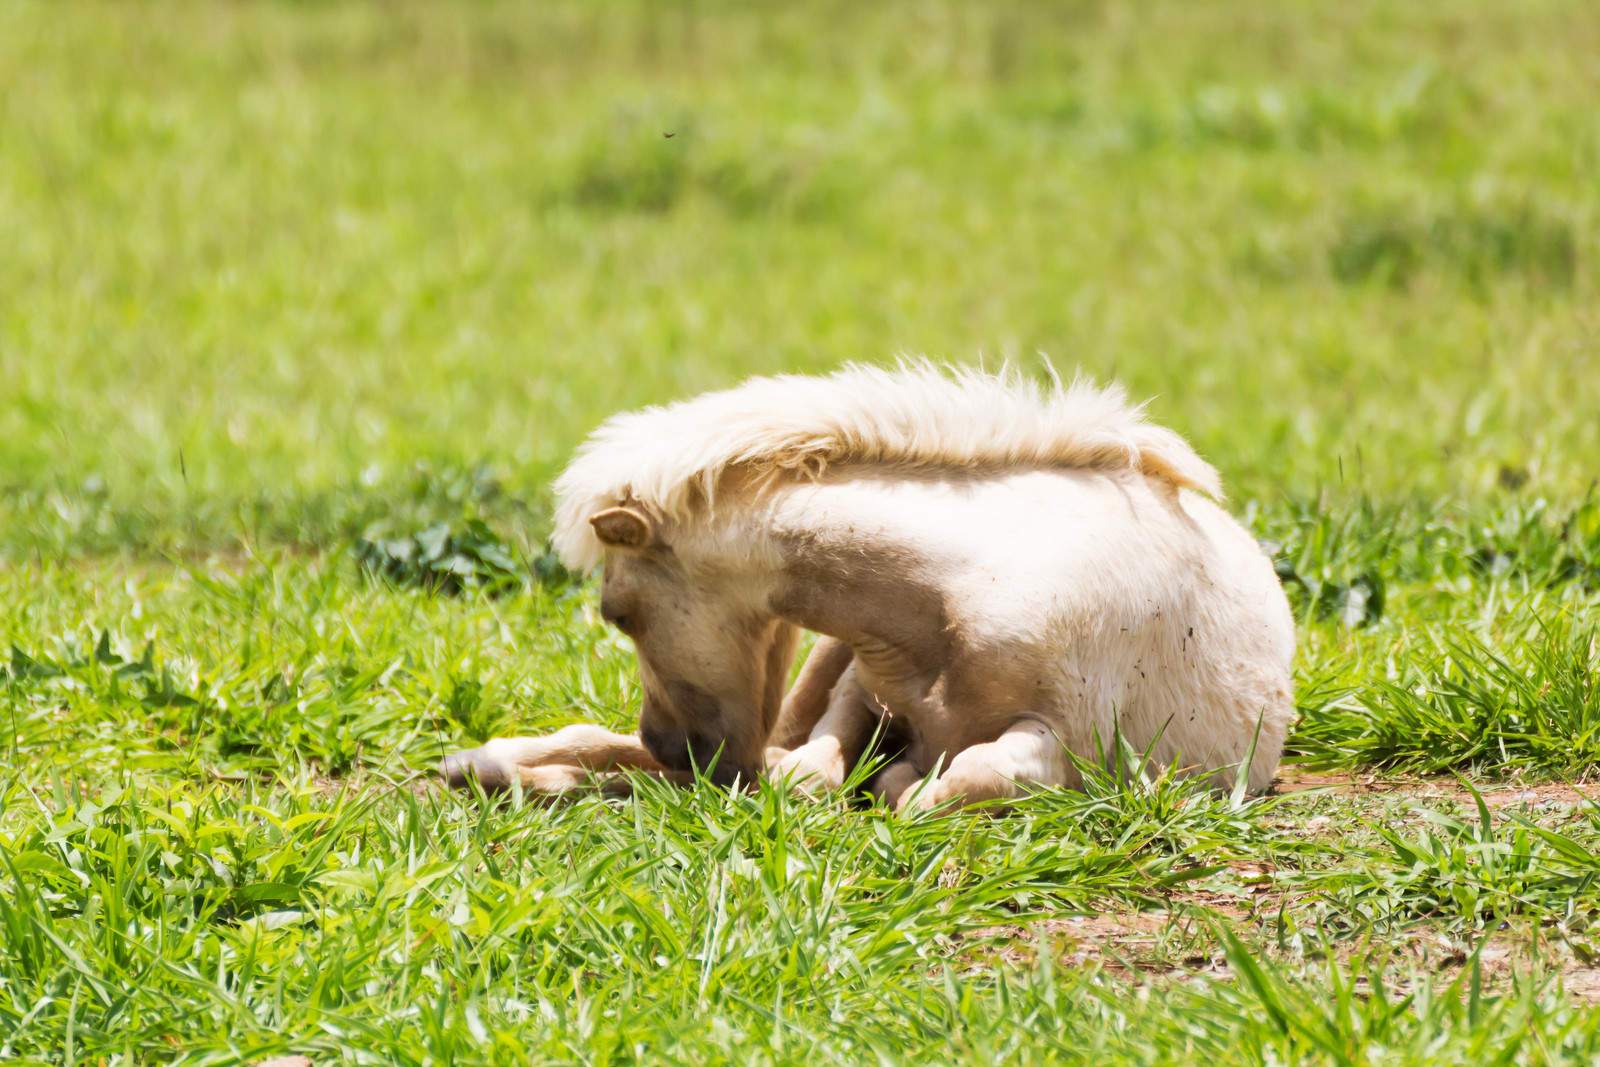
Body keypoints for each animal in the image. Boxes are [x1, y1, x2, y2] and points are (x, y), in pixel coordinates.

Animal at [442, 362, 1296, 811]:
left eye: (617, 612)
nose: (668, 739)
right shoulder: (857, 679)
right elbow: (812, 766)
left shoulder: (1079, 746)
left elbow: (947, 778)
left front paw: (905, 779)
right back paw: (489, 763)